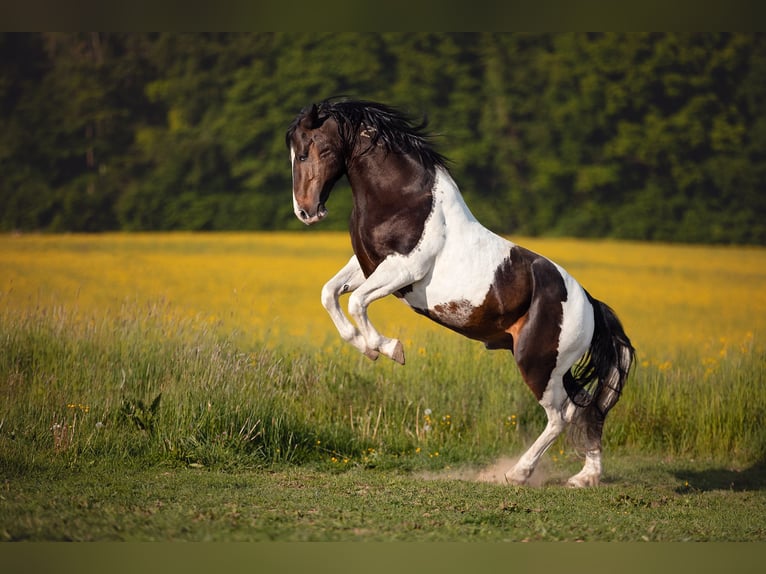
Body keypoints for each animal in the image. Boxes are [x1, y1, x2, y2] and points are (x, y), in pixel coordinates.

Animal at [288, 100, 636, 490]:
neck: (403, 200)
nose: (306, 211)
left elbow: (356, 301)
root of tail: (590, 304)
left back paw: (518, 474)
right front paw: (366, 347)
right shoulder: (367, 266)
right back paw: (585, 477)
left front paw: (389, 349)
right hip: (557, 366)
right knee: (586, 407)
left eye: (308, 152)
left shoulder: (402, 270)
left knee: (560, 416)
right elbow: (330, 294)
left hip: (536, 364)